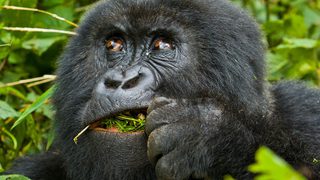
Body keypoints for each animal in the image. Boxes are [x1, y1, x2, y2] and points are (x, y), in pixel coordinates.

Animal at [4, 0, 320, 179]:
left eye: (162, 45)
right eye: (114, 44)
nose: (122, 80)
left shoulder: (306, 112)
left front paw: (208, 136)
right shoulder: (29, 171)